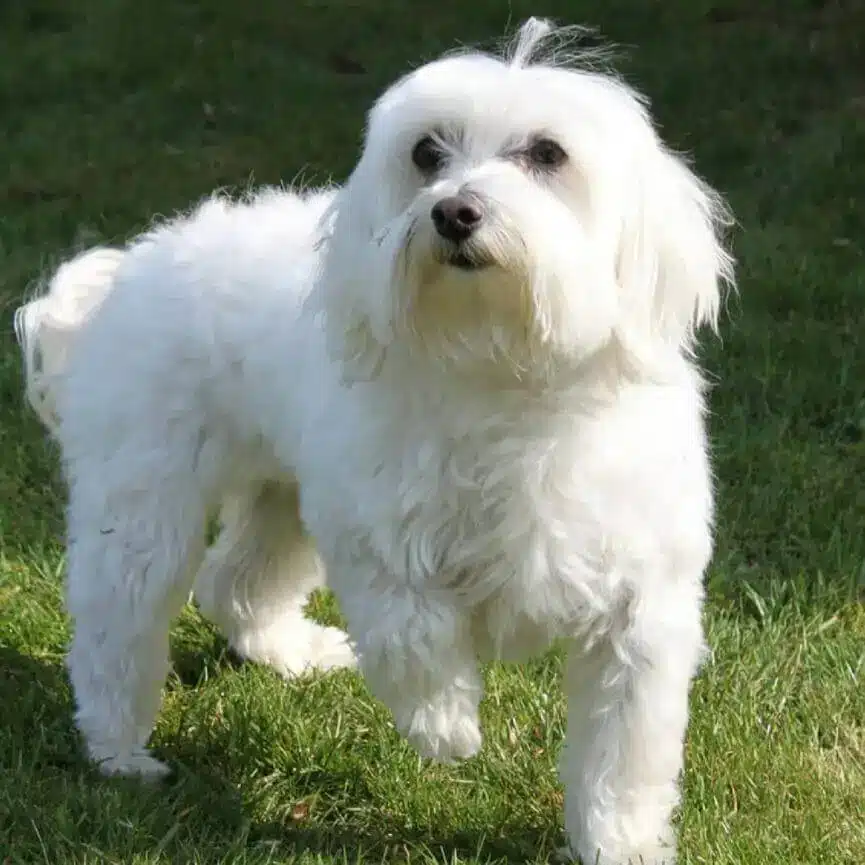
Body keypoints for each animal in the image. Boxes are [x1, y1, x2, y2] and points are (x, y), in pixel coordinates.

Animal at [15, 20, 728, 864]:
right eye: (426, 152)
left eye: (547, 153)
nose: (453, 212)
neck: (500, 368)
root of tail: (124, 271)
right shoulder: (378, 540)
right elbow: (411, 636)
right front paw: (447, 727)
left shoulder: (639, 613)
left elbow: (624, 756)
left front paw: (619, 841)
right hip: (146, 500)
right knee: (117, 622)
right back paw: (120, 750)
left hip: (280, 494)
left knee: (235, 580)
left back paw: (290, 652)